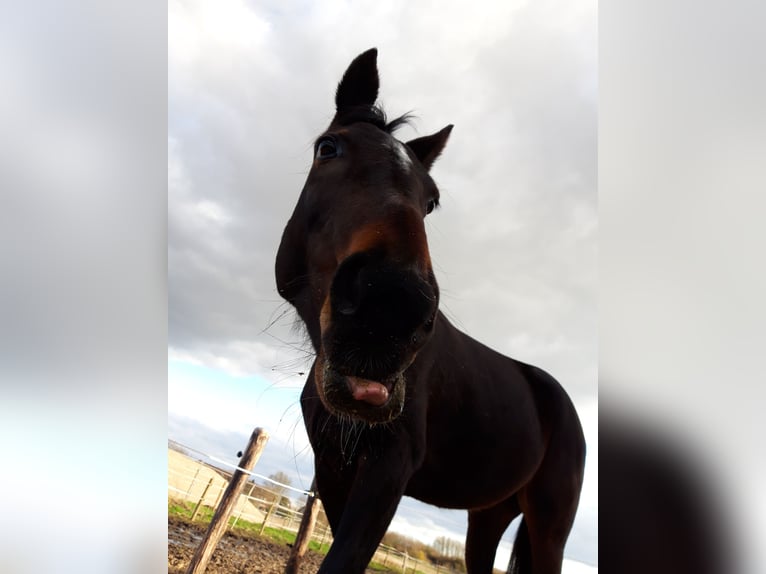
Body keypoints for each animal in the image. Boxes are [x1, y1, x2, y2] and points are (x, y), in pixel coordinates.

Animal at [275, 48, 586, 574]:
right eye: (328, 149)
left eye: (432, 200)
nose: (390, 307)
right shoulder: (333, 468)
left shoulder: (389, 466)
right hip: (489, 514)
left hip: (549, 527)